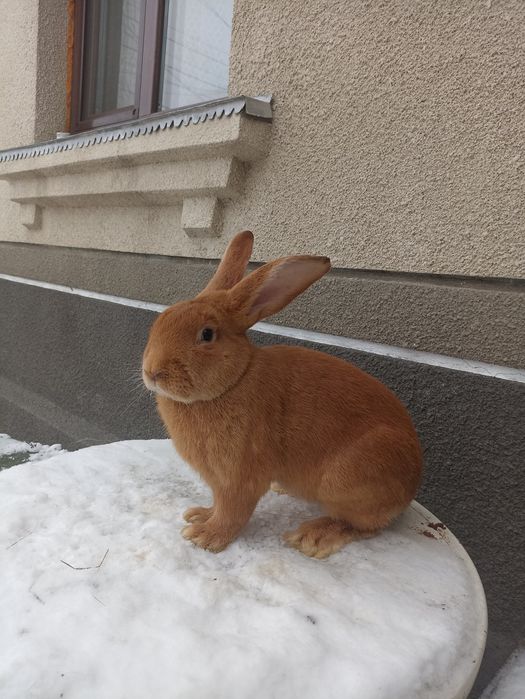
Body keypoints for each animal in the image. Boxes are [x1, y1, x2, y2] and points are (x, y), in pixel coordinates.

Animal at [142, 230, 423, 559]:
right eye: (162, 319)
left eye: (207, 334)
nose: (152, 372)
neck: (235, 380)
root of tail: (411, 485)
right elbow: (218, 505)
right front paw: (200, 515)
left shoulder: (239, 476)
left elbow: (232, 511)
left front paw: (205, 536)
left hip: (352, 478)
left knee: (364, 525)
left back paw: (314, 536)